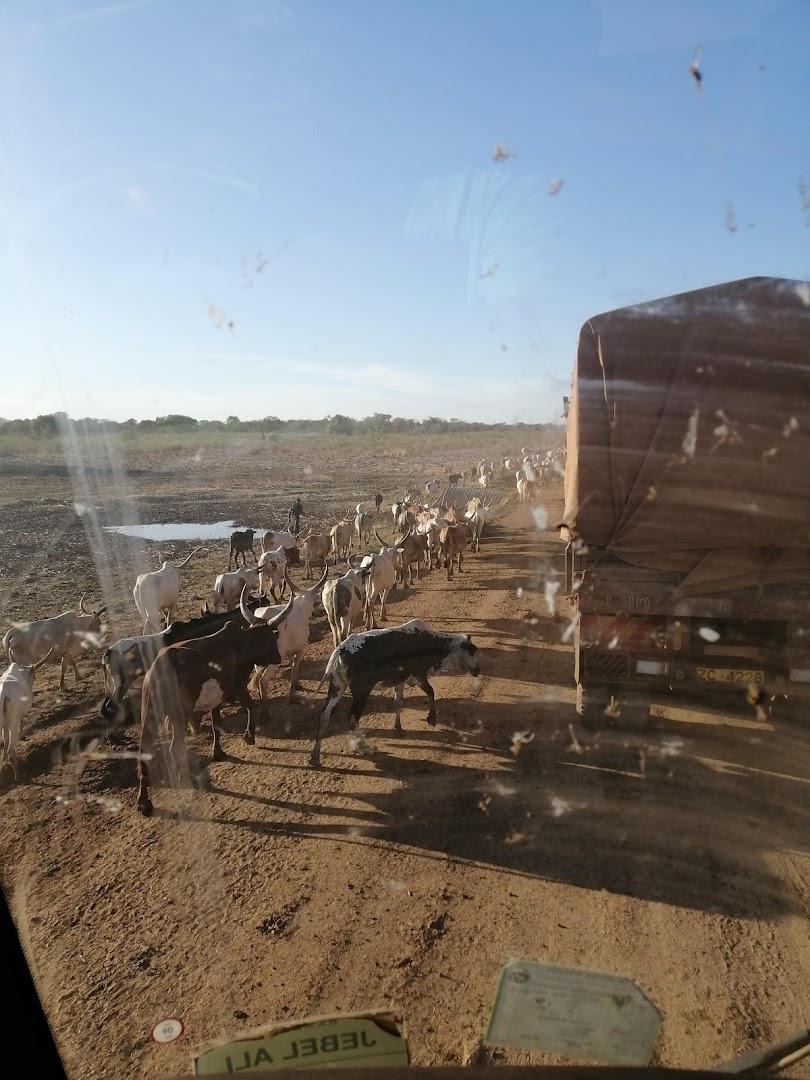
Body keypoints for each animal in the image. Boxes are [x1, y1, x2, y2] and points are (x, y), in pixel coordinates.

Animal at [136, 591, 295, 812]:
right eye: (273, 637)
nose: (278, 658)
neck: (242, 643)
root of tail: (156, 671)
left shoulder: (216, 699)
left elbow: (216, 725)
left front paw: (218, 752)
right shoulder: (237, 688)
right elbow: (250, 707)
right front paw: (249, 736)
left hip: (149, 716)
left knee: (143, 755)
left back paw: (144, 801)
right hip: (177, 716)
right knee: (174, 747)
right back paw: (183, 778)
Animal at [306, 617, 479, 768]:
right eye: (472, 652)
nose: (477, 670)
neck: (430, 642)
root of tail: (340, 649)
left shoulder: (400, 681)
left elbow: (398, 702)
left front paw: (398, 728)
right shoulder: (418, 676)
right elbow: (431, 692)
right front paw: (432, 718)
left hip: (337, 685)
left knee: (325, 715)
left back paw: (315, 757)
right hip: (361, 692)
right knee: (353, 719)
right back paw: (366, 748)